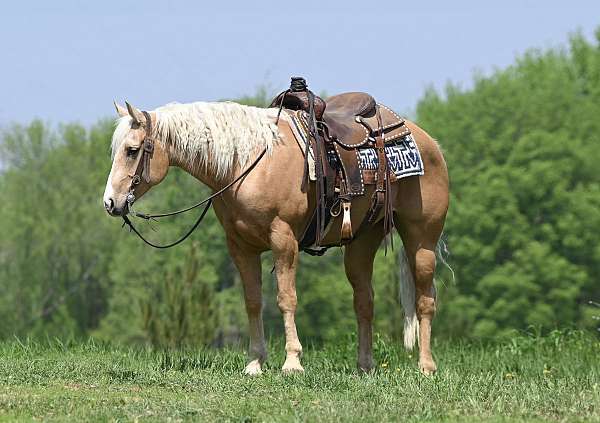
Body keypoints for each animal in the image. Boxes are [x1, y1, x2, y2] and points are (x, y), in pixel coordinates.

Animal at [104, 99, 450, 374]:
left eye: (132, 151)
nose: (110, 202)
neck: (247, 163)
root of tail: (427, 141)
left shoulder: (284, 241)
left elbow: (286, 298)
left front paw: (292, 362)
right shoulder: (240, 247)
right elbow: (253, 301)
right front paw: (255, 362)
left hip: (422, 241)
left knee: (425, 300)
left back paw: (426, 366)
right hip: (361, 243)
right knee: (364, 301)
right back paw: (365, 366)